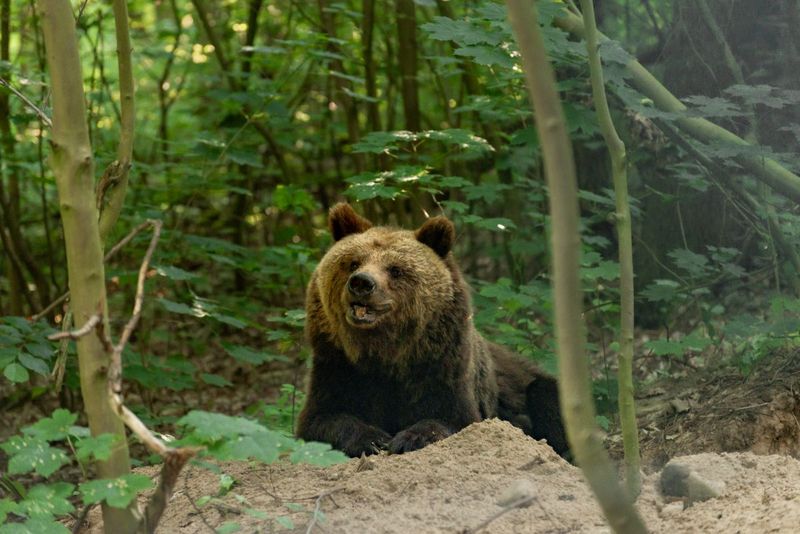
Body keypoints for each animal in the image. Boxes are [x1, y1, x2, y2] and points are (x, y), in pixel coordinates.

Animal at [296, 203, 568, 458]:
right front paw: (373, 438)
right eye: (352, 262)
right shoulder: (338, 364)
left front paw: (410, 438)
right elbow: (322, 419)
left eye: (395, 269)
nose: (362, 283)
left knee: (545, 394)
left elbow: (451, 418)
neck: (385, 352)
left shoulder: (442, 364)